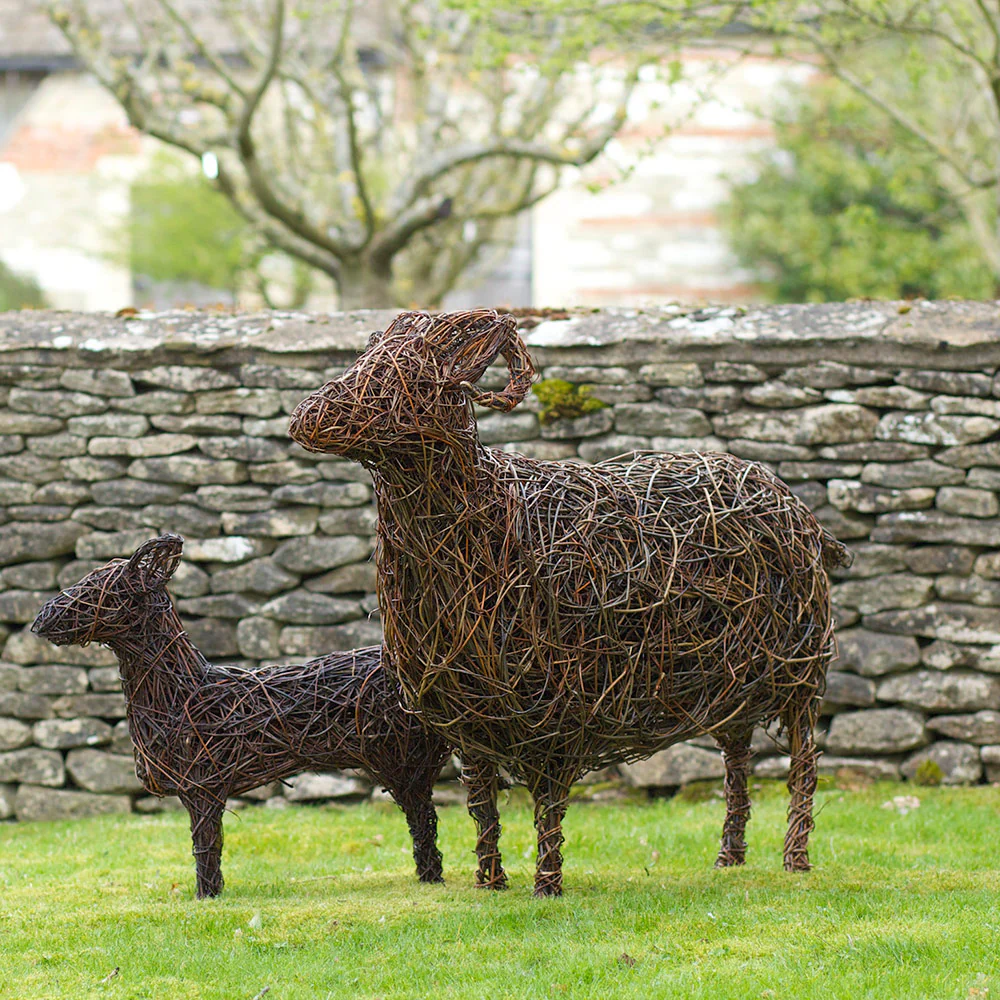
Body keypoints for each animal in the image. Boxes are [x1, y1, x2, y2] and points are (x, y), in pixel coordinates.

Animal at [31, 533, 488, 898]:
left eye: (97, 590)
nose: (40, 620)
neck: (181, 691)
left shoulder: (203, 786)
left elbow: (206, 847)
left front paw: (206, 897)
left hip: (403, 761)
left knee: (425, 820)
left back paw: (434, 878)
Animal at [288, 308, 851, 897]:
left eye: (409, 375)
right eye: (365, 359)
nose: (310, 417)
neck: (488, 518)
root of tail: (798, 510)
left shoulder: (560, 713)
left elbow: (549, 805)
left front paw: (547, 886)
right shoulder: (469, 719)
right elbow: (482, 804)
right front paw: (490, 882)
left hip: (801, 675)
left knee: (804, 763)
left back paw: (795, 859)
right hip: (730, 683)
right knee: (738, 756)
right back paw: (730, 858)